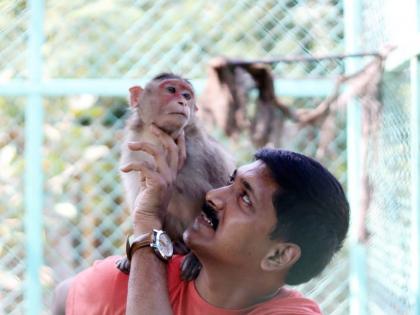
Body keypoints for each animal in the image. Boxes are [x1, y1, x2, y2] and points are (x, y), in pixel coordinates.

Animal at [118, 74, 236, 276]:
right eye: (171, 90)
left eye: (187, 95)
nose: (182, 101)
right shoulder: (132, 151)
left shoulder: (205, 151)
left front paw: (197, 259)